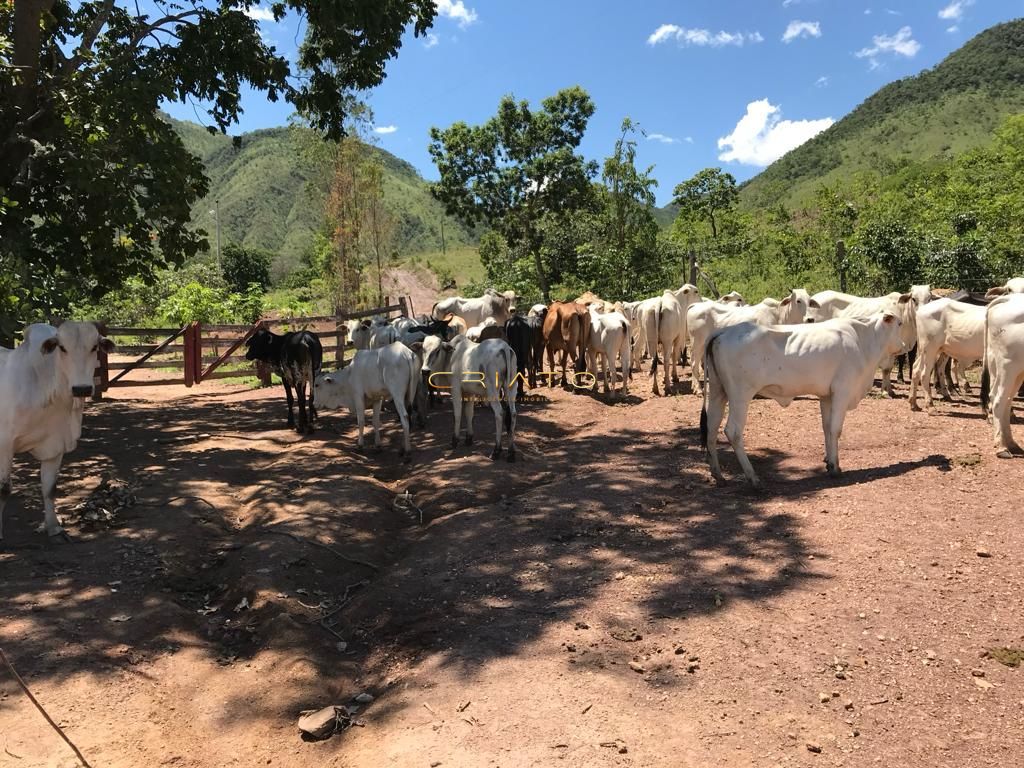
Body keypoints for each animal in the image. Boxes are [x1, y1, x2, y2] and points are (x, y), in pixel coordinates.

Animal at [1, 321, 115, 536]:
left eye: (94, 347)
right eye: (62, 348)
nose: (81, 389)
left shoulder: (55, 445)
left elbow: (49, 488)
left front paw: (54, 527)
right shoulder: (4, 446)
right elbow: (3, 490)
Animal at [704, 313, 905, 487]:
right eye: (900, 324)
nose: (906, 345)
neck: (864, 339)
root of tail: (724, 331)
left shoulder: (826, 396)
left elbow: (827, 428)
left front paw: (829, 462)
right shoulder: (842, 391)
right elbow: (835, 429)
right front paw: (835, 468)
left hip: (717, 391)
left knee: (712, 427)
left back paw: (718, 475)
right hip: (740, 395)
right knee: (733, 431)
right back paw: (753, 478)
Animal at [974, 296, 1024, 456]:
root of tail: (1008, 299)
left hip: (1012, 370)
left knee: (1004, 402)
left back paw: (1010, 443)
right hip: (1007, 366)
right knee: (998, 401)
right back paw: (1002, 447)